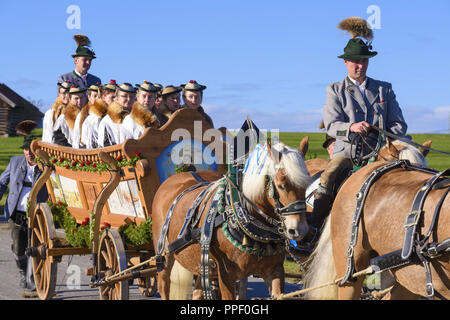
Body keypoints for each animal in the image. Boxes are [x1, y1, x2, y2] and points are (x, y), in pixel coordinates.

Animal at [151, 142, 312, 300]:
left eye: (306, 186)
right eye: (280, 186)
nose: (299, 230)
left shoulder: (275, 270)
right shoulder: (226, 274)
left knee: (197, 291)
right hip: (164, 253)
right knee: (163, 284)